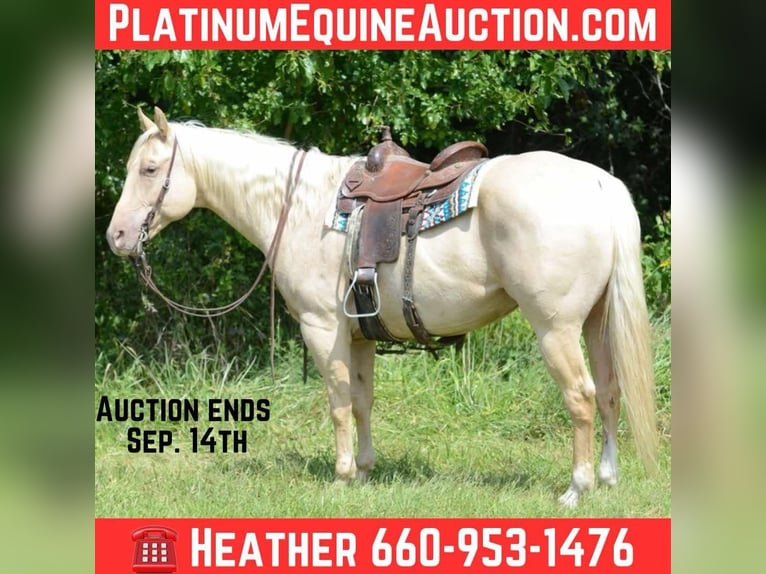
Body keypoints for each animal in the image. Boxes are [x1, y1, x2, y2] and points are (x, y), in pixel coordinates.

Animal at [106, 107, 657, 507]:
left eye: (150, 170)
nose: (117, 237)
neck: (301, 207)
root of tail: (597, 183)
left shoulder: (323, 329)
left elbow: (337, 403)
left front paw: (341, 476)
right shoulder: (360, 334)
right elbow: (363, 401)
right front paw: (366, 472)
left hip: (555, 328)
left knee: (582, 397)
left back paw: (576, 489)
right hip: (595, 322)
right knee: (610, 392)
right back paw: (607, 478)